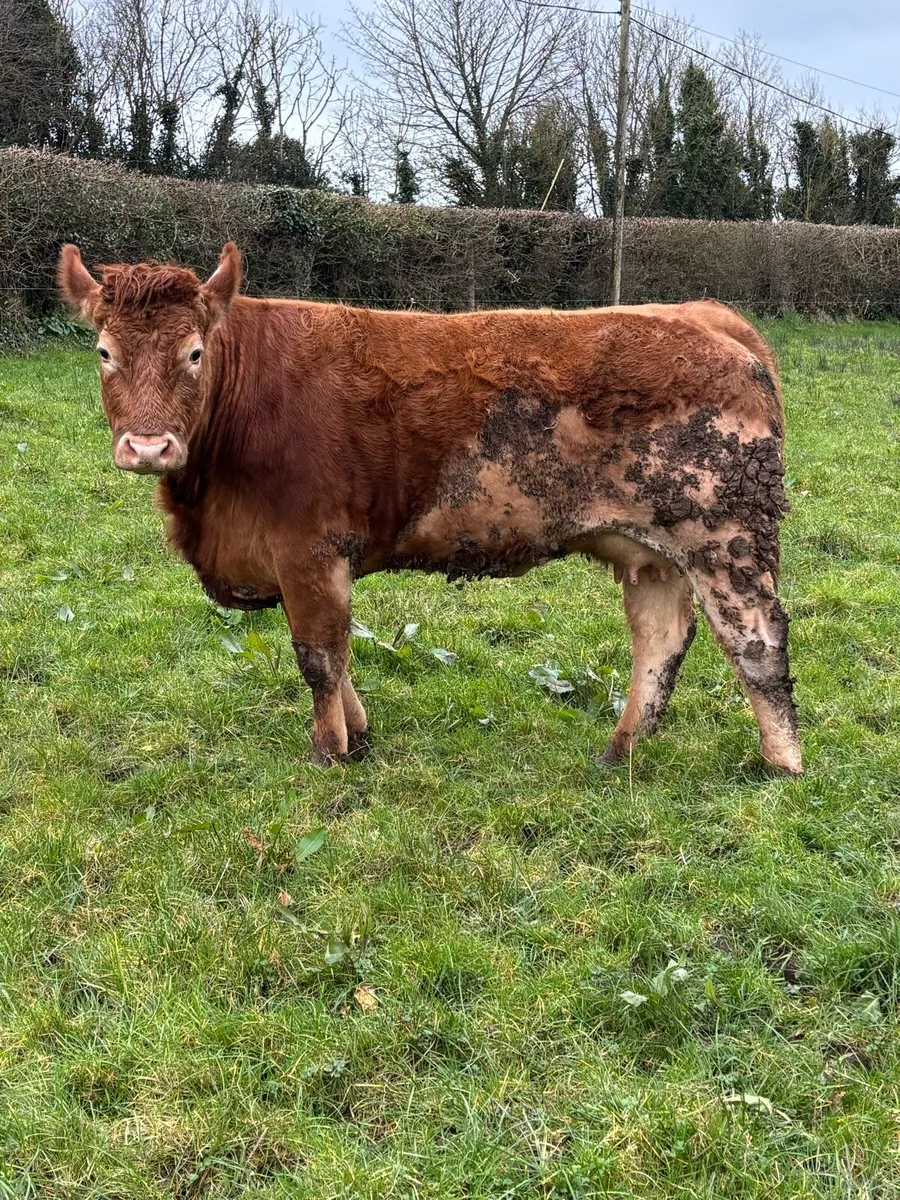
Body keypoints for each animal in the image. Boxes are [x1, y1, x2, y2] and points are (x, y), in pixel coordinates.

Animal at [58, 242, 802, 775]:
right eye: (104, 352)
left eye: (193, 352)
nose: (147, 446)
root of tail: (700, 314)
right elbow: (339, 654)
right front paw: (357, 735)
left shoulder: (308, 547)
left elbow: (318, 654)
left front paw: (329, 752)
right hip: (652, 549)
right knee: (662, 637)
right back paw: (621, 751)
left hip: (726, 536)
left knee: (757, 640)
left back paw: (782, 765)